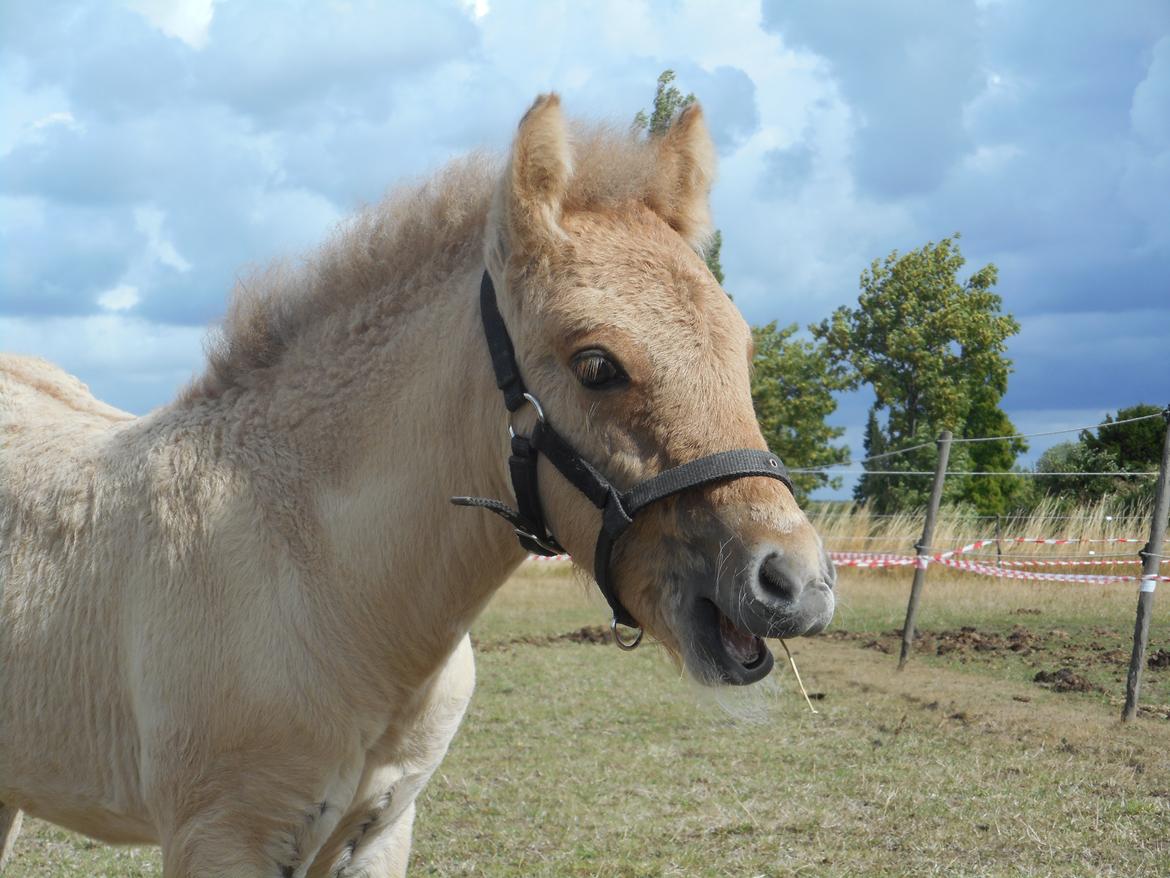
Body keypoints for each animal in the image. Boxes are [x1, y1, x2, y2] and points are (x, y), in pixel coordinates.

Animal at [4, 93, 837, 875]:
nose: (794, 583)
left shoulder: (381, 831)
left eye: (742, 348)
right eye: (596, 364)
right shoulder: (219, 839)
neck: (324, 583)